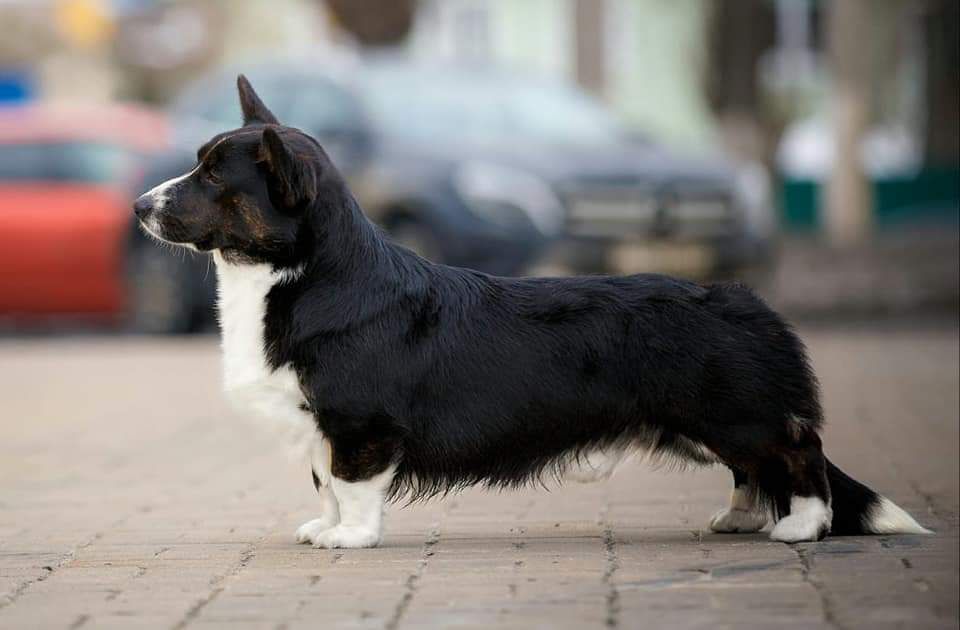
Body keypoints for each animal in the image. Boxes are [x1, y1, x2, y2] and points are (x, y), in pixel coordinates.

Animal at [131, 75, 932, 548]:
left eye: (214, 177)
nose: (138, 206)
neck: (298, 277)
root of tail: (744, 301)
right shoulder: (319, 428)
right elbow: (324, 484)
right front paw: (319, 526)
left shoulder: (359, 424)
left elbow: (352, 488)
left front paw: (348, 539)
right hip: (707, 426)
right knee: (751, 470)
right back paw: (738, 518)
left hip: (735, 412)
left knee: (797, 453)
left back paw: (800, 526)